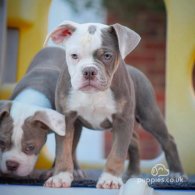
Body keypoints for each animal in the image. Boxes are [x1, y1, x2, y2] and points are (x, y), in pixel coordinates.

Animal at [43, 21, 184, 189]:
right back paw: (132, 173)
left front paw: (110, 179)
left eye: (107, 56)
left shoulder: (122, 120)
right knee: (134, 140)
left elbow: (117, 152)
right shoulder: (66, 118)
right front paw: (60, 176)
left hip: (149, 116)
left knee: (168, 140)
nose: (89, 71)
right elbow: (63, 150)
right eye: (74, 56)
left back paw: (177, 173)